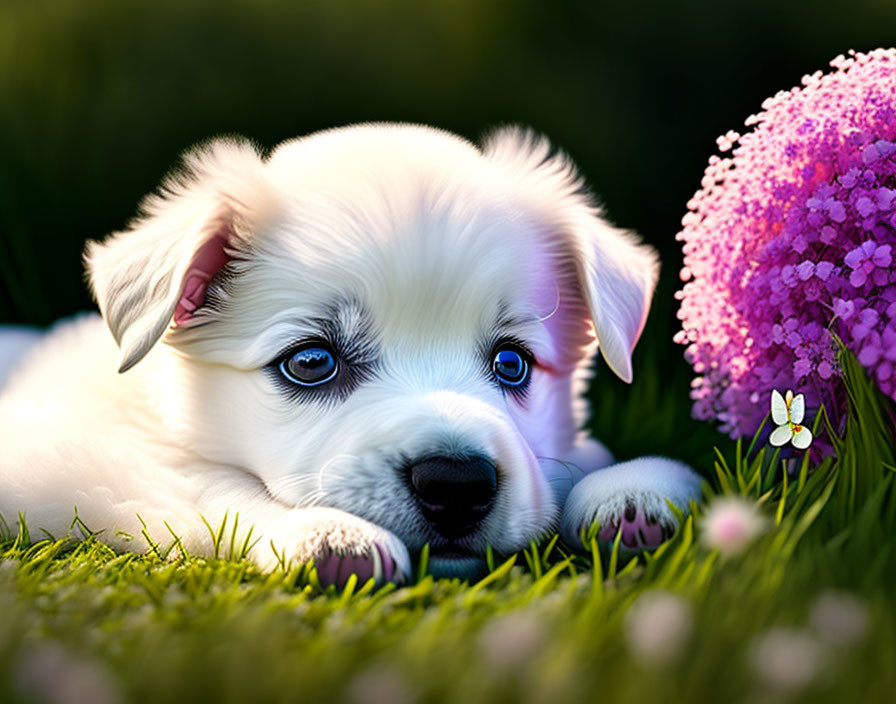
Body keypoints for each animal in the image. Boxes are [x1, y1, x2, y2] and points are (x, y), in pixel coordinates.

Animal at [0, 125, 700, 584]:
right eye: (311, 362)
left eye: (513, 364)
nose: (457, 483)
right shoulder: (86, 462)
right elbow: (208, 482)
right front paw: (327, 534)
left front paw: (633, 488)